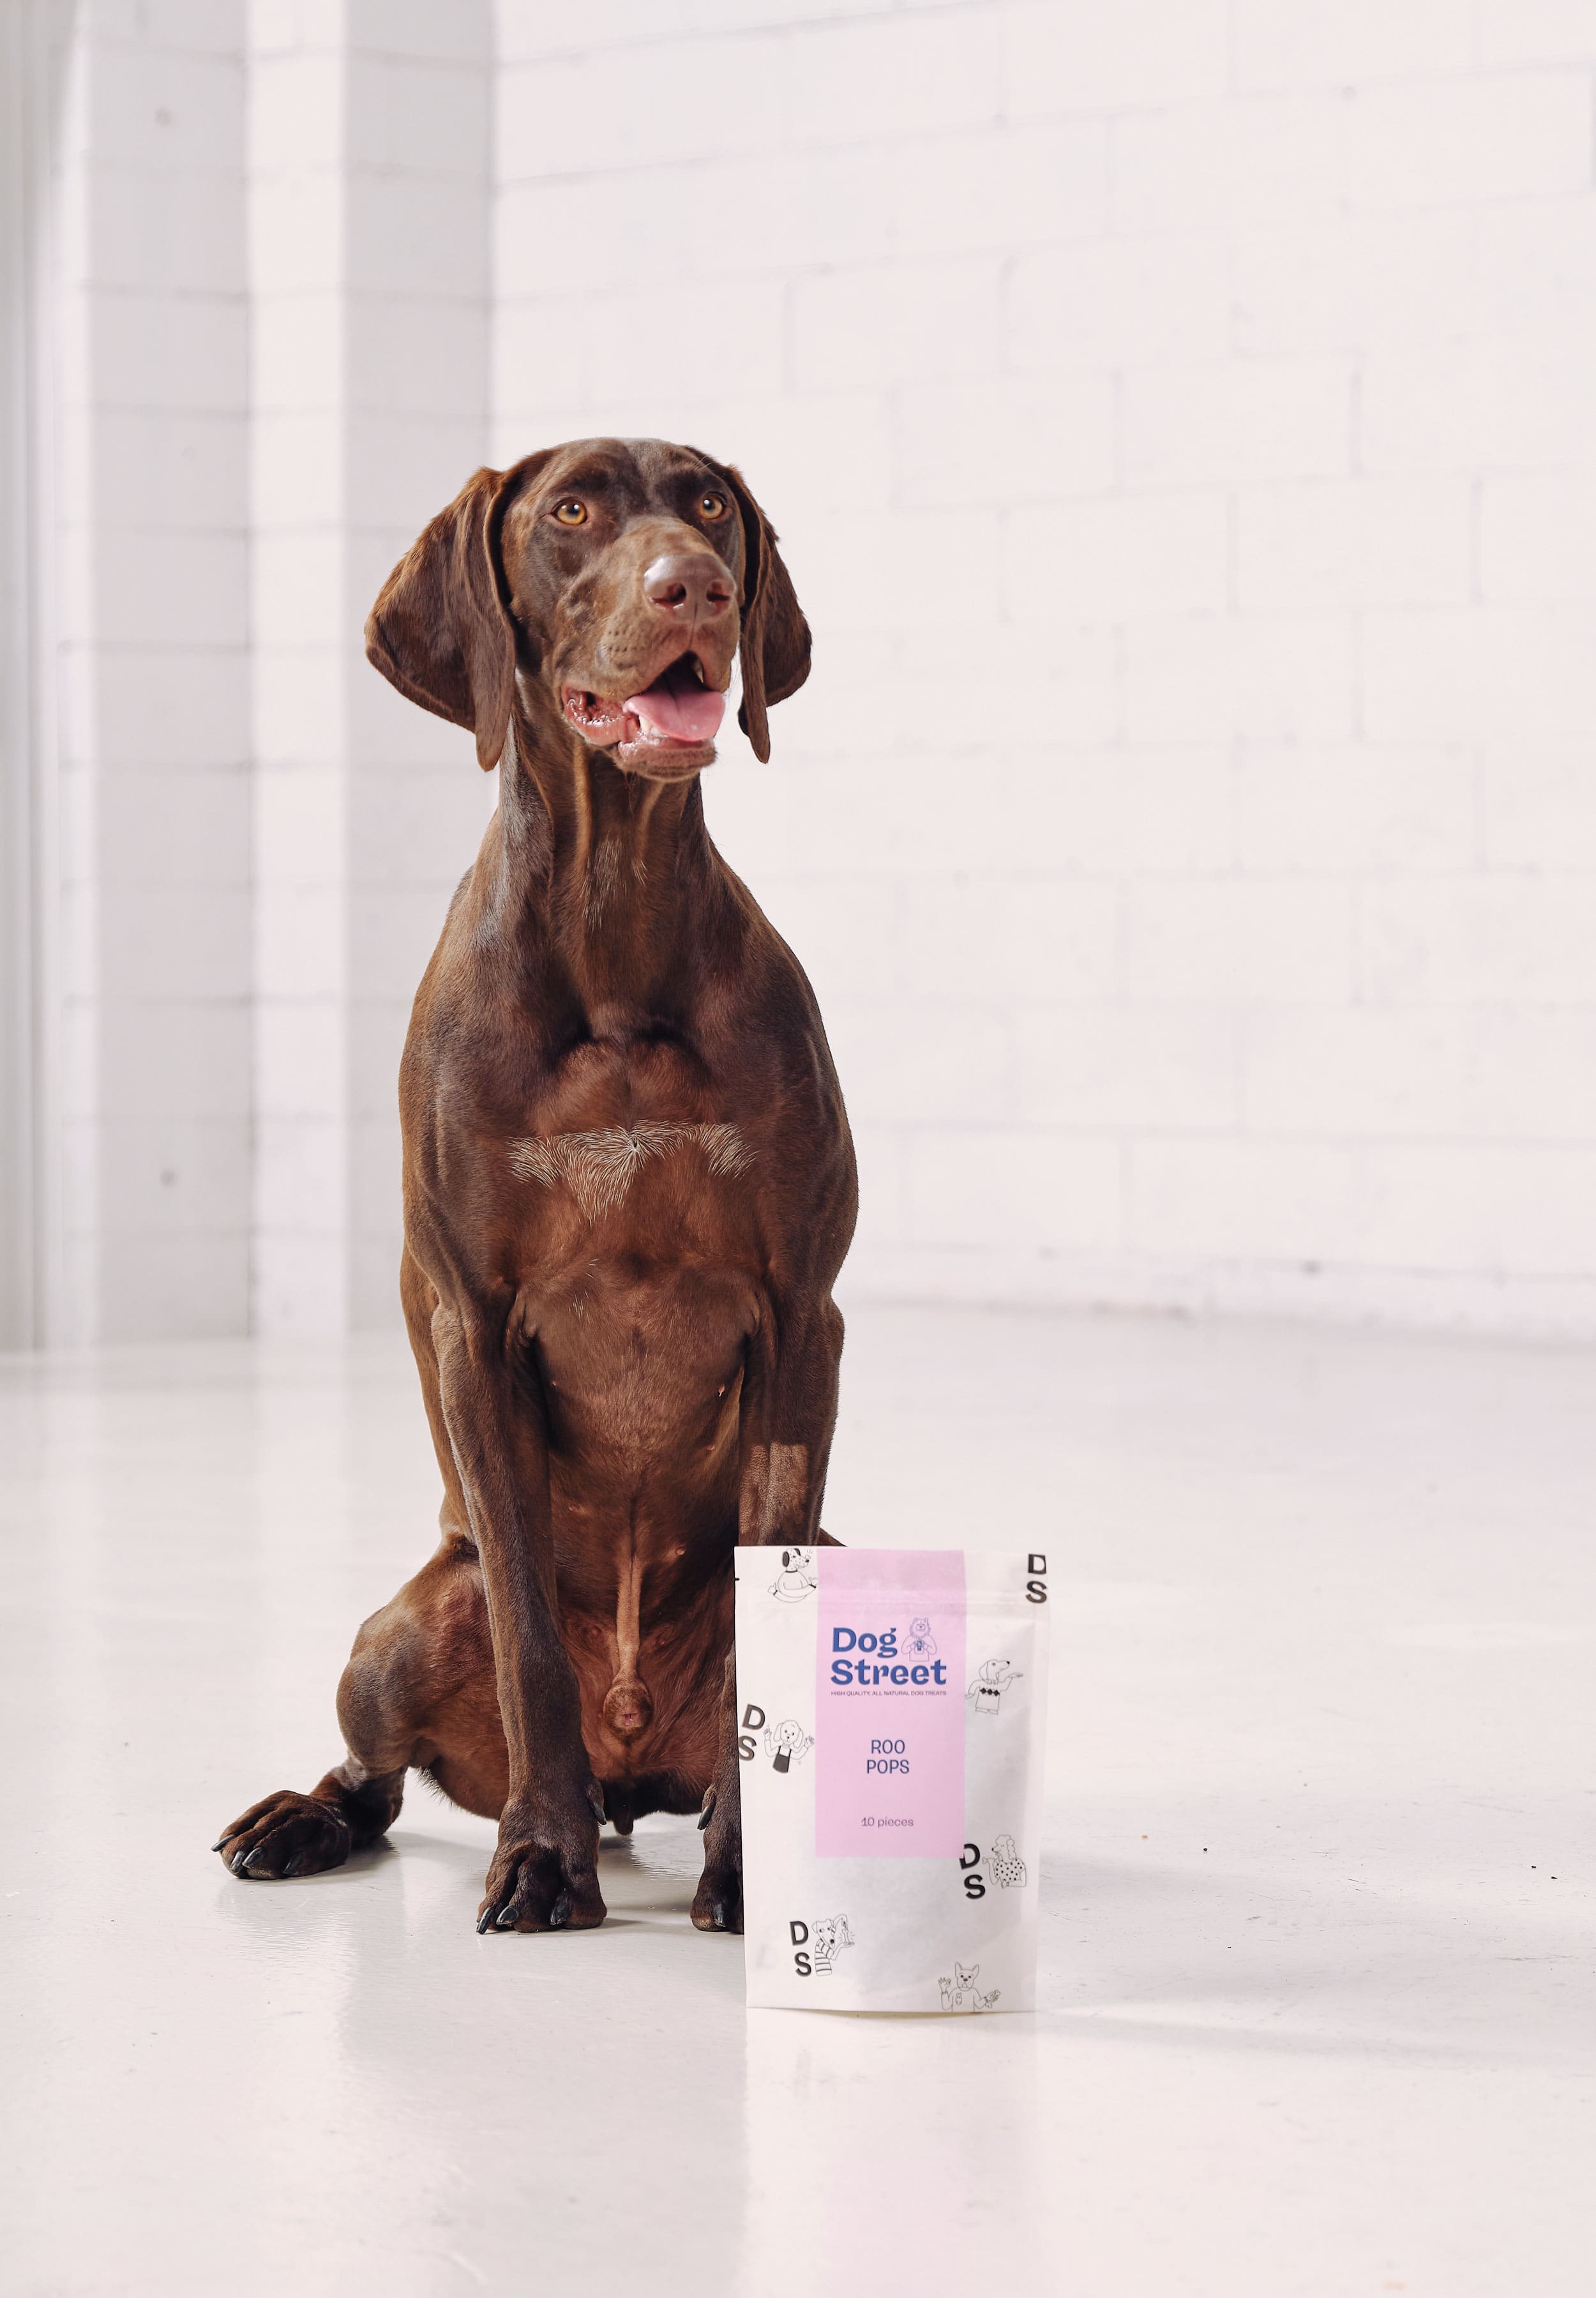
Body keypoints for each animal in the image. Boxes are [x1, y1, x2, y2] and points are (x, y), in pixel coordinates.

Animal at [216, 439, 863, 1930]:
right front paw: (541, 1853)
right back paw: (306, 1817)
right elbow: (525, 1632)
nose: (699, 585)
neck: (612, 926)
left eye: (707, 506)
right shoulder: (476, 1326)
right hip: (393, 1633)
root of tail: (638, 1760)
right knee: (375, 1772)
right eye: (570, 510)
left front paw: (747, 1874)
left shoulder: (802, 1316)